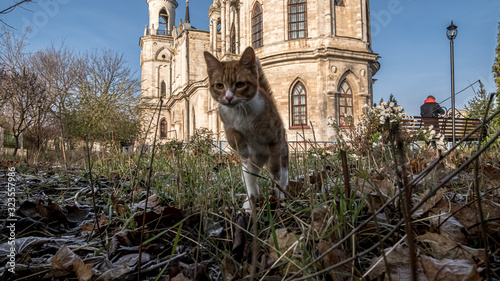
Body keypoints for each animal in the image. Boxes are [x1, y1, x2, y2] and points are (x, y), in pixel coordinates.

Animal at [203, 47, 290, 210]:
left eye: (240, 84)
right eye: (219, 85)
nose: (228, 97)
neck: (241, 112)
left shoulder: (275, 136)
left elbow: (275, 166)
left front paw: (275, 174)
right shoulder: (227, 124)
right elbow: (234, 136)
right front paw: (243, 149)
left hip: (283, 154)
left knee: (282, 179)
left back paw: (279, 196)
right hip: (249, 169)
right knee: (252, 185)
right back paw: (249, 205)